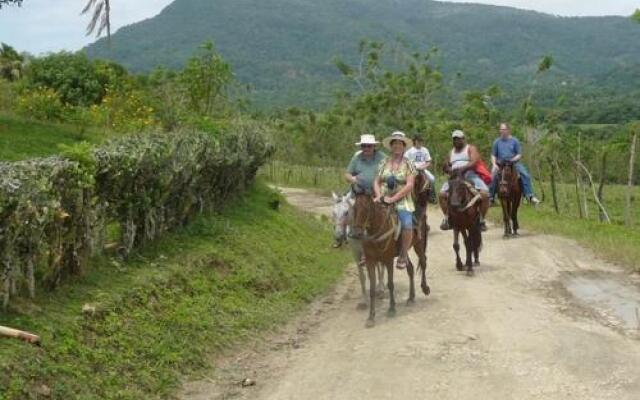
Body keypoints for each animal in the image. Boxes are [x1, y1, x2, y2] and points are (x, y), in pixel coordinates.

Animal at [350, 194, 430, 328]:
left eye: (367, 209)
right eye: (354, 208)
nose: (356, 233)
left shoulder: (388, 260)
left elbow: (390, 284)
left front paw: (392, 309)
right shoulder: (371, 261)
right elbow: (372, 289)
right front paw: (371, 317)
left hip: (418, 244)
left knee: (423, 262)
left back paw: (425, 288)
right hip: (404, 252)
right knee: (410, 268)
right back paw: (411, 297)